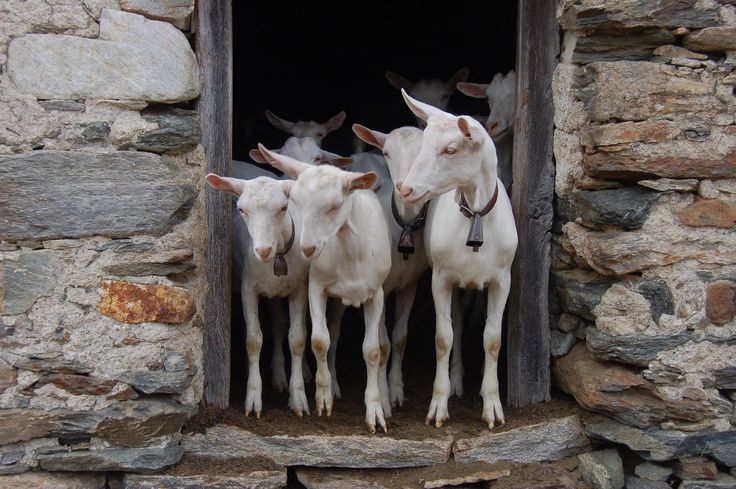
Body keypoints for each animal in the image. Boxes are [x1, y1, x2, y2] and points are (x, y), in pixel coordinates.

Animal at [258, 144, 393, 433]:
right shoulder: (316, 287)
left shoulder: (376, 295)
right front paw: (323, 398)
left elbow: (372, 350)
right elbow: (320, 340)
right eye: (295, 203)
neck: (352, 253)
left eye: (336, 205)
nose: (307, 248)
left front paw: (375, 412)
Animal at [396, 90, 518, 429]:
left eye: (450, 150)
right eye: (423, 144)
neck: (475, 216)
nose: (406, 189)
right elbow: (443, 337)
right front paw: (438, 405)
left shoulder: (503, 280)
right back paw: (456, 380)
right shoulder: (441, 279)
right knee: (458, 324)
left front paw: (493, 406)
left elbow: (493, 339)